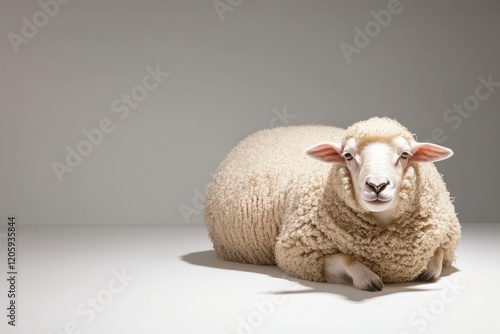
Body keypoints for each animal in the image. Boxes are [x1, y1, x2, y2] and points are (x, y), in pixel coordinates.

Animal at [203, 117, 460, 290]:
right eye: (348, 156)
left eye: (405, 154)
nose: (377, 186)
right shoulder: (299, 255)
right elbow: (347, 258)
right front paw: (368, 278)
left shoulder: (446, 234)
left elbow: (439, 253)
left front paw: (429, 269)